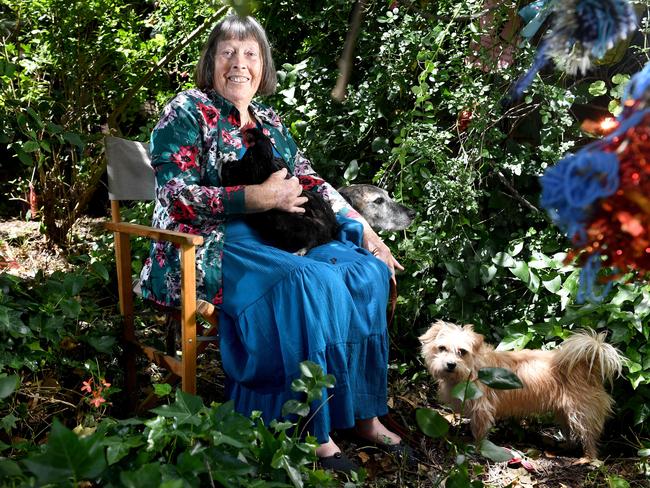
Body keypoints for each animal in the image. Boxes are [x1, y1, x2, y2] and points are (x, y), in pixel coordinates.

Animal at [418, 320, 620, 458]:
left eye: (462, 351)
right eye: (442, 348)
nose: (450, 364)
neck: (471, 369)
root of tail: (587, 364)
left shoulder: (482, 409)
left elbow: (480, 432)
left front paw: (477, 448)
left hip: (582, 412)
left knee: (589, 435)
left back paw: (589, 459)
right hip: (564, 413)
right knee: (570, 432)